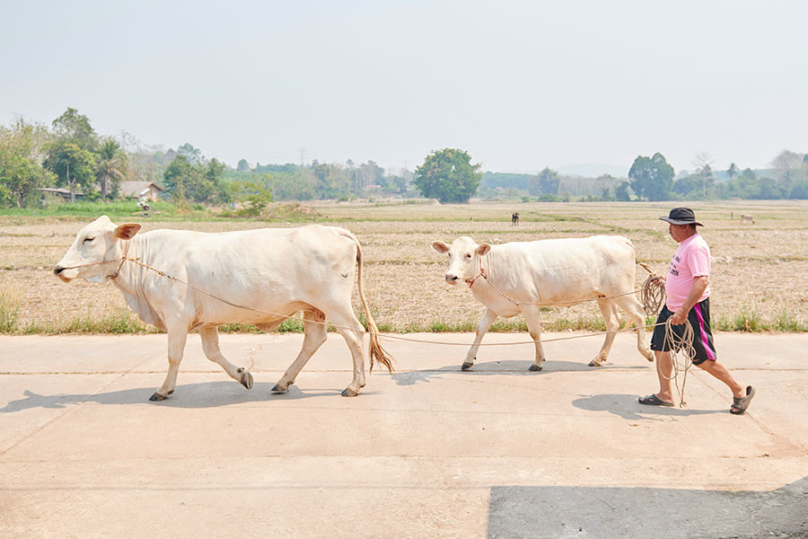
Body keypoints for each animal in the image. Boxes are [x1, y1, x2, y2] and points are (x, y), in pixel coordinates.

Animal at [52, 216, 392, 400]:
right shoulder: (206, 322)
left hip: (335, 304)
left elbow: (174, 356)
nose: (58, 269)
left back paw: (354, 385)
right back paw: (283, 381)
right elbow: (212, 354)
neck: (146, 259)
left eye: (89, 238)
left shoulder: (176, 317)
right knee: (314, 340)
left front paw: (164, 389)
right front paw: (243, 375)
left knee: (355, 336)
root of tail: (335, 230)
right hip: (313, 308)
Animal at [432, 236, 652, 372]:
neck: (493, 266)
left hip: (621, 292)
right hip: (604, 296)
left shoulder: (528, 303)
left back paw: (646, 352)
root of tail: (620, 239)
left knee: (639, 313)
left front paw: (538, 362)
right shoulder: (495, 305)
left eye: (469, 255)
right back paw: (598, 358)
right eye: (449, 254)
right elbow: (480, 330)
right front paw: (468, 360)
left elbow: (535, 332)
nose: (450, 276)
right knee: (613, 323)